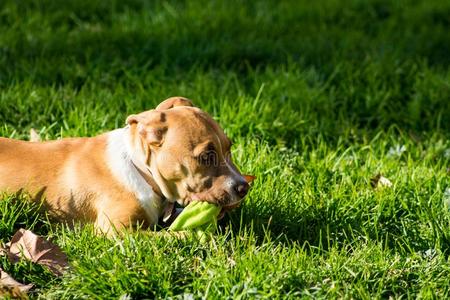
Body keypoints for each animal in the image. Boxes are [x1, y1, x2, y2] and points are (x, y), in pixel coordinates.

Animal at [0, 97, 250, 233]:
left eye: (229, 148)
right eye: (206, 156)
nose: (244, 187)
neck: (141, 170)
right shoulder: (117, 232)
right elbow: (166, 238)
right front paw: (193, 234)